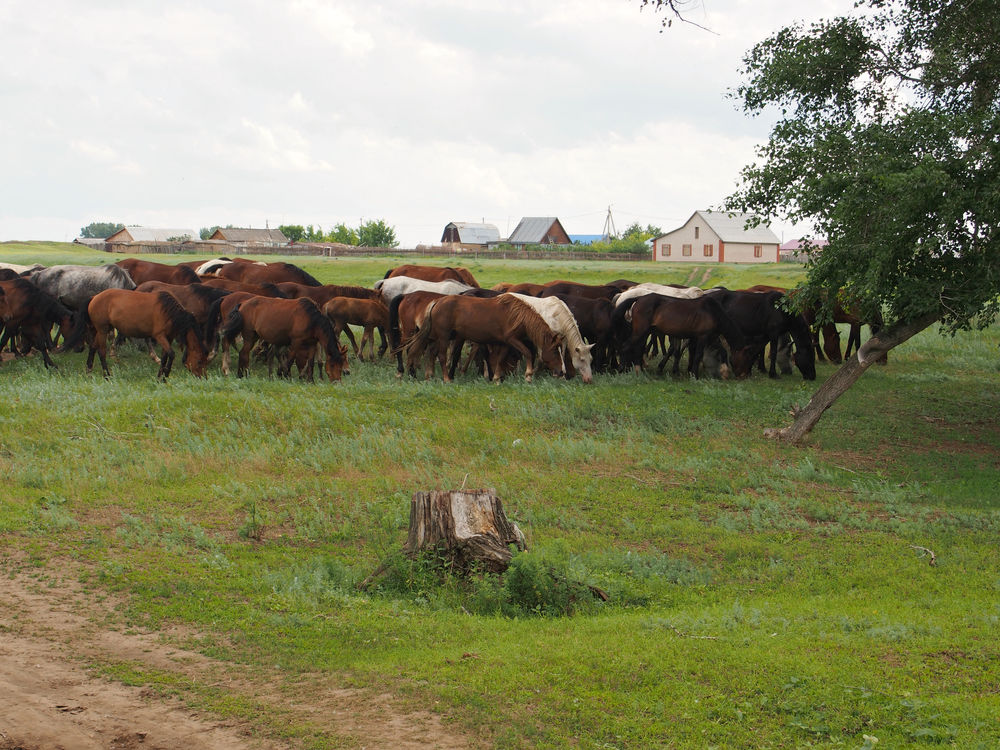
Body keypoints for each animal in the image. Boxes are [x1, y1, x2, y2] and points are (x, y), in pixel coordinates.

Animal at [64, 290, 209, 382]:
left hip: (98, 330)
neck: (170, 313)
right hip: (102, 330)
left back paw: (89, 371)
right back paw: (107, 376)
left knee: (93, 348)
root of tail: (94, 297)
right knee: (101, 351)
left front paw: (160, 377)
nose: (203, 377)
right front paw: (165, 376)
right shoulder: (160, 336)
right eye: (199, 361)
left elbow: (164, 357)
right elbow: (171, 354)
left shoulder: (168, 338)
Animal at [404, 294, 564, 384]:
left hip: (436, 337)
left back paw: (428, 376)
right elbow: (528, 353)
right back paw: (447, 379)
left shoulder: (504, 343)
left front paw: (496, 378)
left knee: (430, 353)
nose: (562, 372)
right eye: (555, 351)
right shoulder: (512, 340)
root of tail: (437, 302)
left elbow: (500, 359)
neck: (517, 316)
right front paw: (528, 376)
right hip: (444, 337)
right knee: (442, 356)